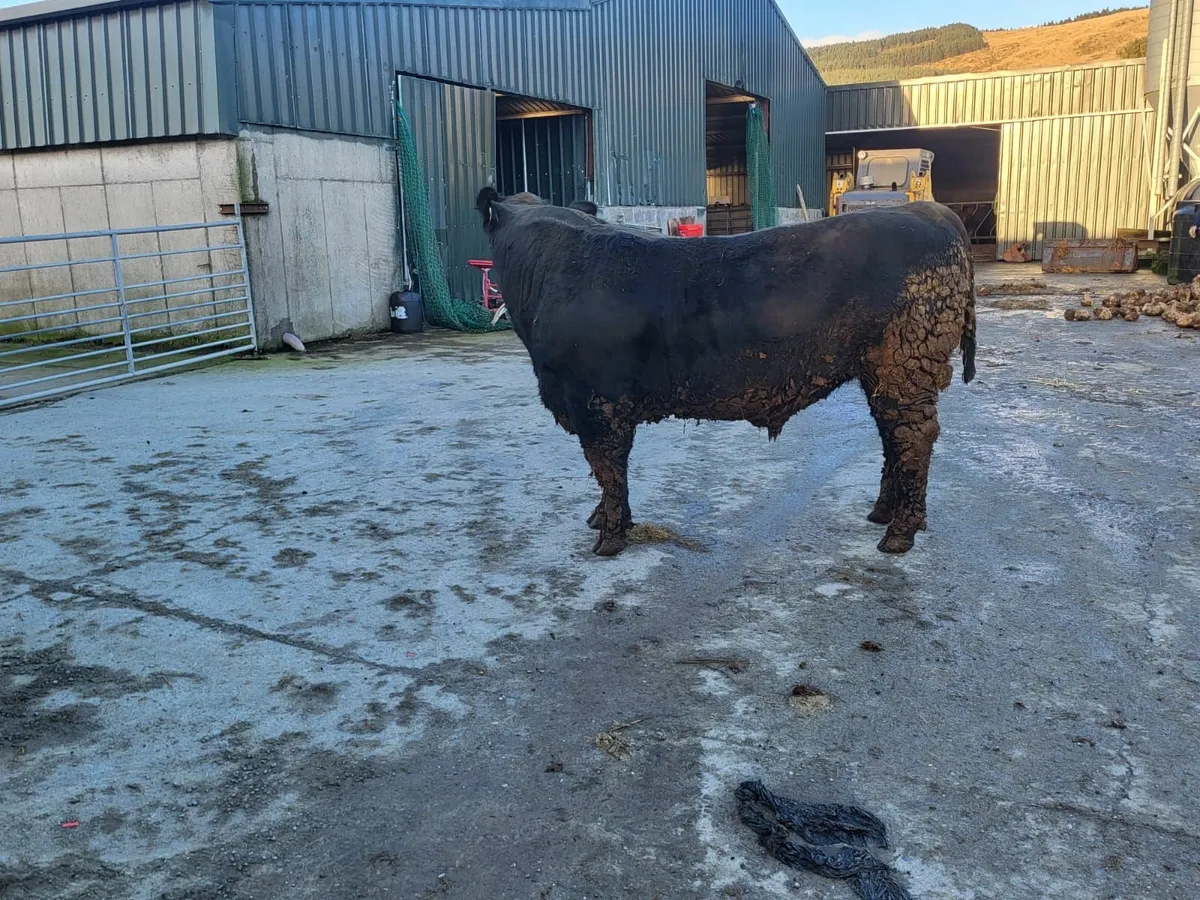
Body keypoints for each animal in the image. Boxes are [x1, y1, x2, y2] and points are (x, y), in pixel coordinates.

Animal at [475, 187, 977, 558]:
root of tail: (929, 210)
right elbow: (607, 472)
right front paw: (603, 518)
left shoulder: (596, 400)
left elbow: (608, 468)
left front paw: (611, 535)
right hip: (886, 374)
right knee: (893, 440)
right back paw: (882, 513)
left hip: (904, 367)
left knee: (913, 440)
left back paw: (900, 533)